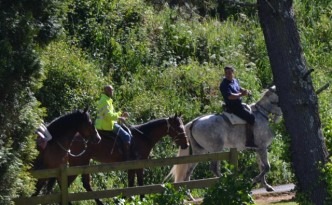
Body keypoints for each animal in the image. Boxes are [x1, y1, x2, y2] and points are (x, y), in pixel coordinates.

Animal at [46, 114, 189, 204]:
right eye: (179, 127)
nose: (186, 144)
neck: (142, 137)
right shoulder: (138, 164)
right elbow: (138, 184)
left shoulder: (134, 166)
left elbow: (134, 184)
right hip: (78, 163)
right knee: (66, 184)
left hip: (84, 163)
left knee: (84, 184)